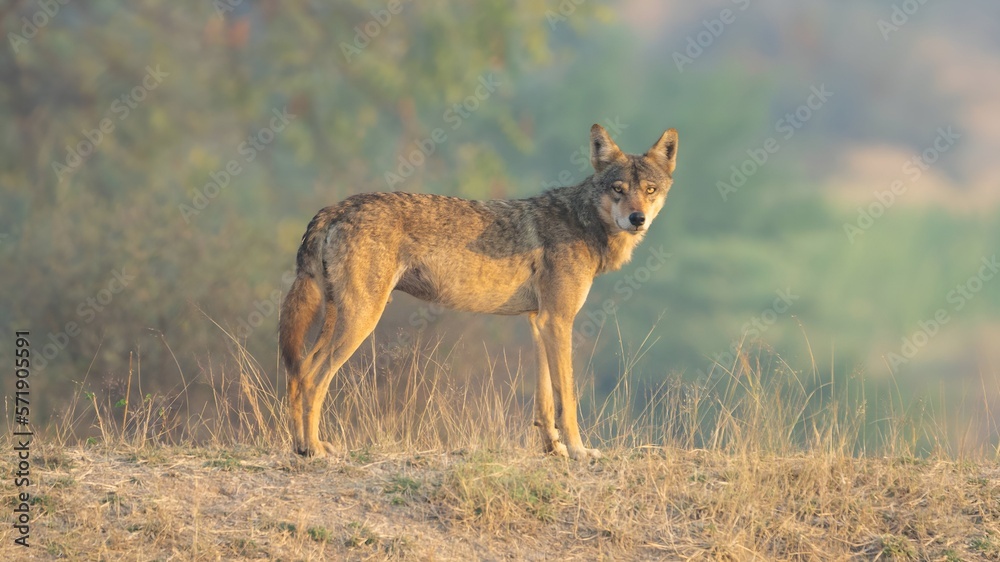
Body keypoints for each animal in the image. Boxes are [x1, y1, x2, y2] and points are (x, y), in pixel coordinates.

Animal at [279, 124, 678, 460]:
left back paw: (301, 447)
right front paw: (579, 451)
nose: (637, 219)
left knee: (298, 374)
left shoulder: (539, 322)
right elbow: (567, 399)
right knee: (313, 379)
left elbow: (545, 400)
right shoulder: (559, 320)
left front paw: (554, 450)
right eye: (618, 189)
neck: (583, 222)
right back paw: (314, 449)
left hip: (338, 320)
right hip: (361, 320)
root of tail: (334, 208)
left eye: (650, 190)